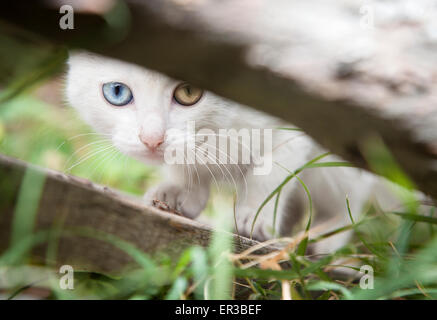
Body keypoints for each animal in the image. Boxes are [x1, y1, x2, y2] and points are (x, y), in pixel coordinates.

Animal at [66, 51, 386, 254]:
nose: (152, 139)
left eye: (189, 92)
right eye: (117, 92)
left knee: (347, 198)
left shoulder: (297, 122)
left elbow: (269, 171)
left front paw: (255, 214)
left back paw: (327, 237)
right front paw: (180, 192)